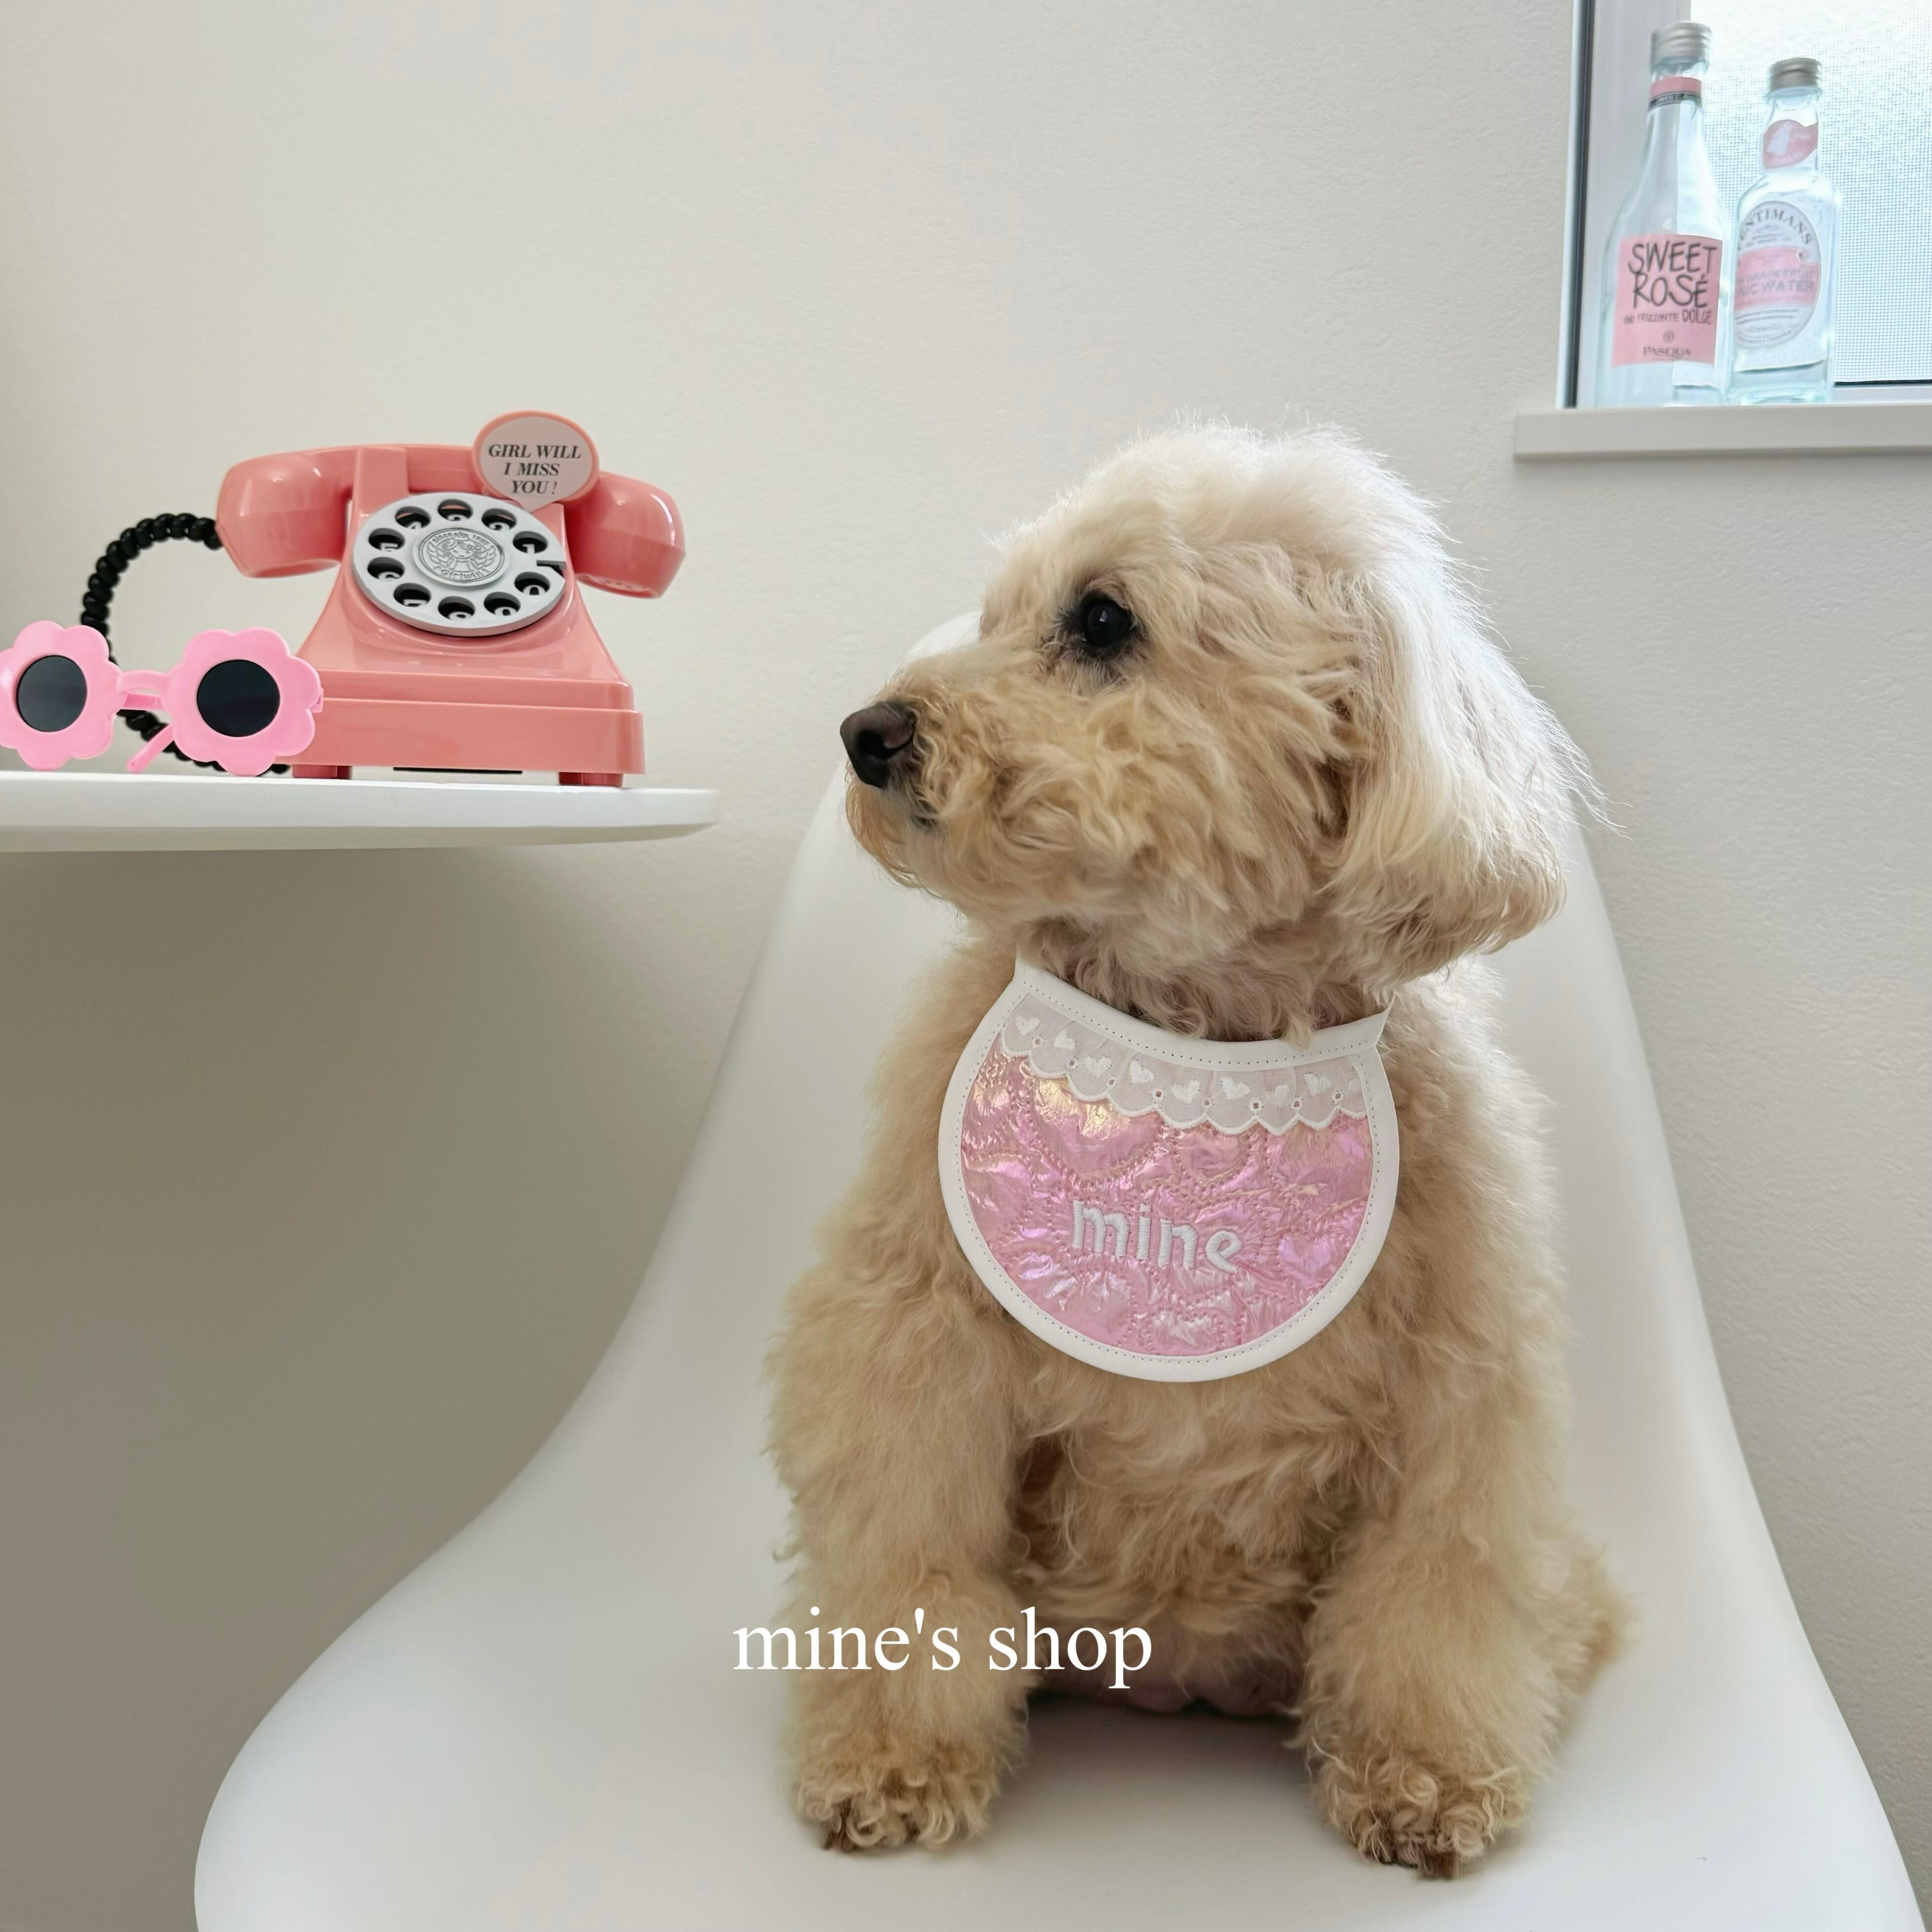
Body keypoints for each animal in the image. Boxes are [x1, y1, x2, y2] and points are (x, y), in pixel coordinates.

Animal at [768, 425, 1621, 1874]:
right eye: (995, 615)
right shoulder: (914, 1345)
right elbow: (907, 1562)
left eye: (1104, 620)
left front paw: (1426, 1781)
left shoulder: (1458, 1386)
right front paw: (891, 1765)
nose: (867, 734)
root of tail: (1177, 1677)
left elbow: (1437, 1592)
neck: (1194, 1029)